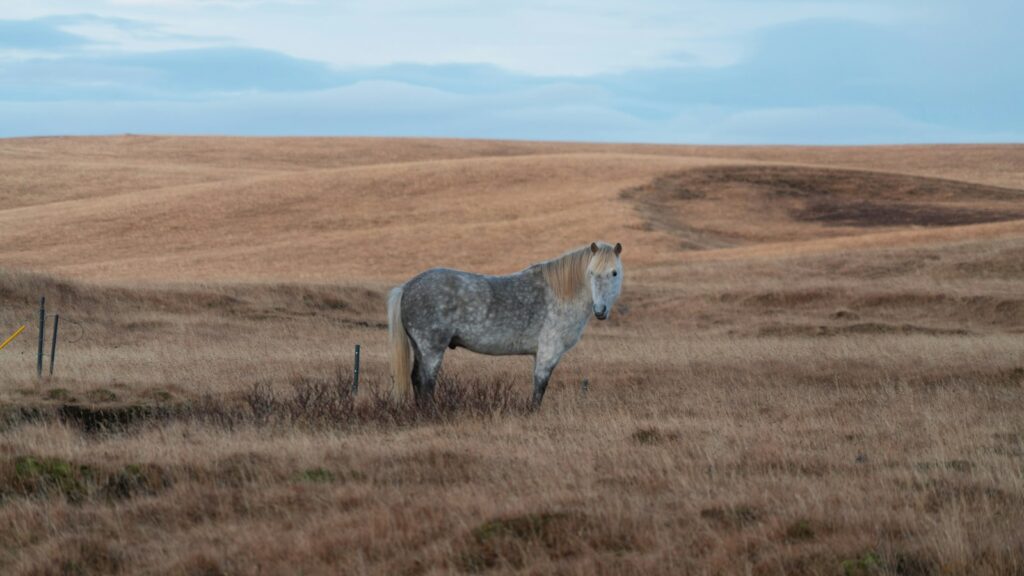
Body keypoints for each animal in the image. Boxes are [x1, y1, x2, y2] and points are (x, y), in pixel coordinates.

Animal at [388, 241, 623, 406]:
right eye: (591, 273)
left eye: (614, 273)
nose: (600, 310)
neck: (560, 294)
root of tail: (407, 287)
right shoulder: (549, 351)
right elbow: (539, 388)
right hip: (432, 349)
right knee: (426, 383)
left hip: (420, 348)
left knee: (416, 380)